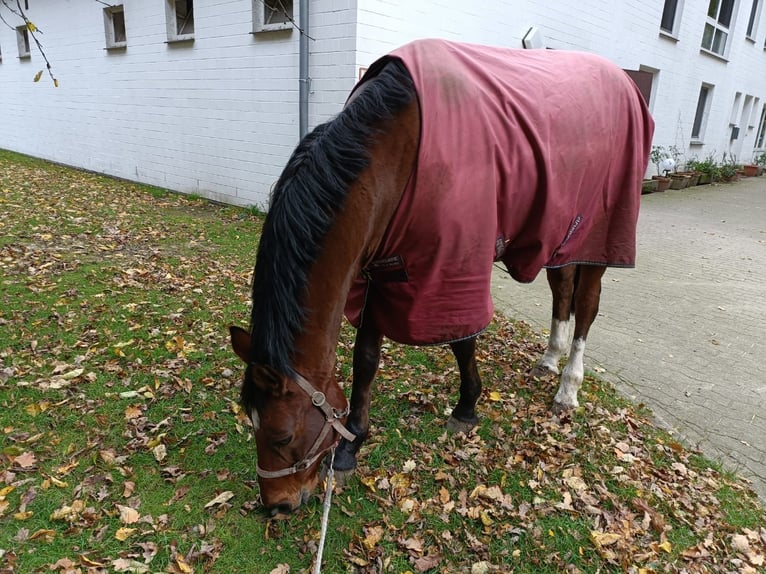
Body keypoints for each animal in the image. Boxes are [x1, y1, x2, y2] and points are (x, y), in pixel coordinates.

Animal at [228, 40, 656, 516]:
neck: (397, 151)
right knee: (562, 292)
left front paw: (466, 408)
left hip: (599, 236)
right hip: (561, 237)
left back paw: (568, 387)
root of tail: (624, 83)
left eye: (282, 435)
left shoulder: (452, 274)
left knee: (587, 305)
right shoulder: (380, 272)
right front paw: (352, 444)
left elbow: (461, 341)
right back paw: (549, 358)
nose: (276, 506)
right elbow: (366, 359)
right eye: (250, 423)